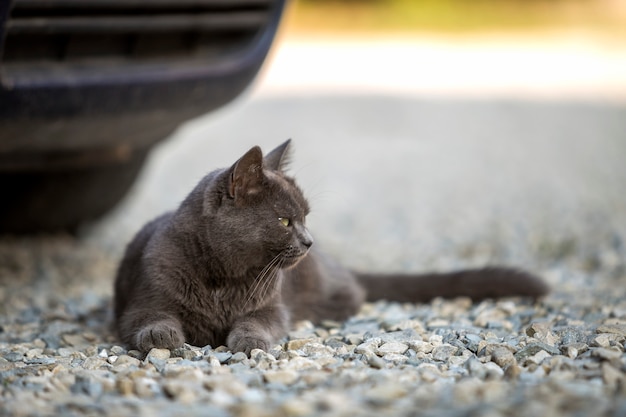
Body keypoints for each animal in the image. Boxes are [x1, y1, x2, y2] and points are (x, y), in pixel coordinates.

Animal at [113, 141, 544, 354]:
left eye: (305, 217)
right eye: (285, 221)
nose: (308, 240)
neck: (223, 277)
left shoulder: (273, 307)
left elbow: (258, 322)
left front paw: (248, 340)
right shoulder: (143, 298)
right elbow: (151, 317)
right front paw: (161, 336)